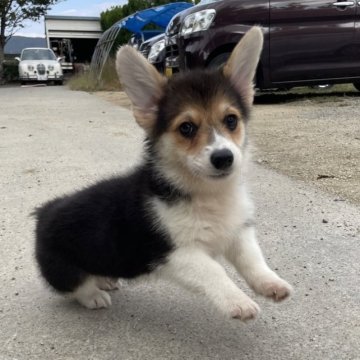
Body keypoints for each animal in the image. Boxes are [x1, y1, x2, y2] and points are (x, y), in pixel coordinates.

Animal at [33, 27, 292, 320]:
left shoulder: (238, 232)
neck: (207, 194)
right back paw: (95, 295)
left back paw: (105, 280)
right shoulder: (174, 253)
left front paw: (271, 283)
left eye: (231, 120)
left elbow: (252, 258)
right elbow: (213, 271)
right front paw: (237, 301)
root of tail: (43, 212)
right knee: (76, 286)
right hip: (63, 268)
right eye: (186, 128)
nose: (224, 158)